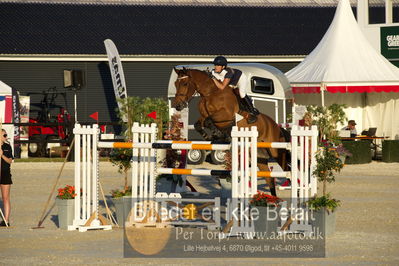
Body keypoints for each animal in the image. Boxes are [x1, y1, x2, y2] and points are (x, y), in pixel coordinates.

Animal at [173, 67, 290, 196]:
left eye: (185, 83)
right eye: (175, 84)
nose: (177, 105)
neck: (210, 94)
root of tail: (276, 126)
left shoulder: (226, 115)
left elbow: (209, 121)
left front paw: (217, 134)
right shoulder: (203, 117)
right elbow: (199, 124)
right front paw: (210, 136)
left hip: (276, 151)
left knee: (287, 169)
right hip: (259, 157)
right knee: (269, 178)